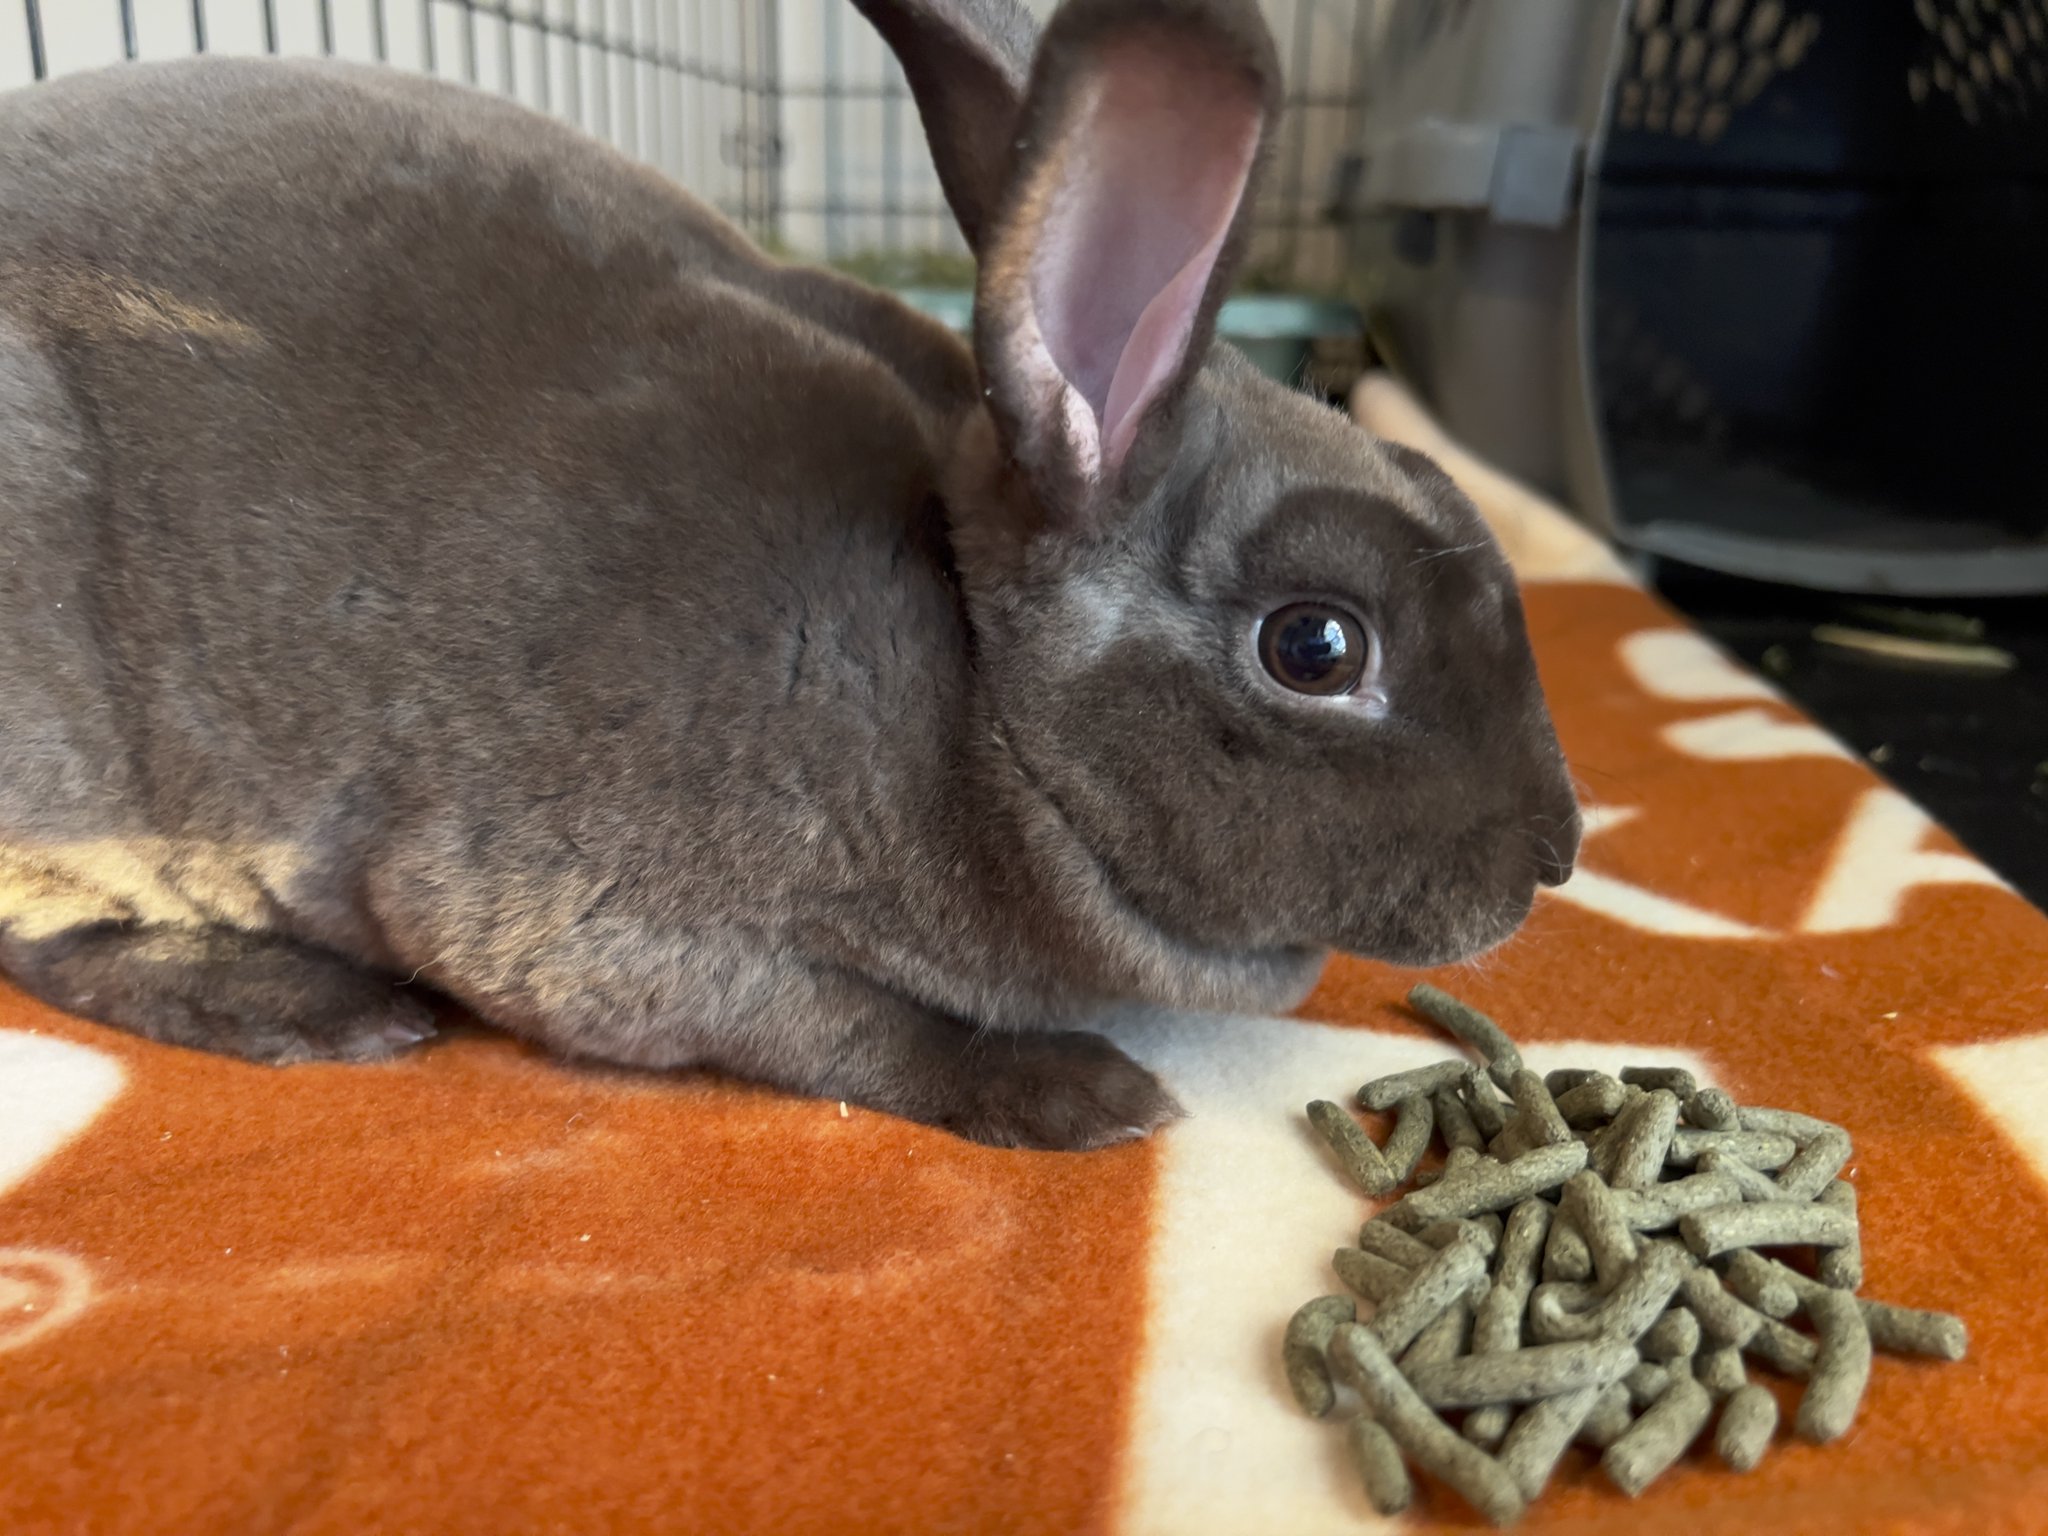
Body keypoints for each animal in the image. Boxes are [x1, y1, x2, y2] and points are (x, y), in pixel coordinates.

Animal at [0, 0, 1580, 1151]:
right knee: (55, 940)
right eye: (1317, 646)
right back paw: (311, 1009)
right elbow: (853, 1033)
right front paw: (1080, 1093)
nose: (1557, 851)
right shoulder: (614, 931)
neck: (974, 695)